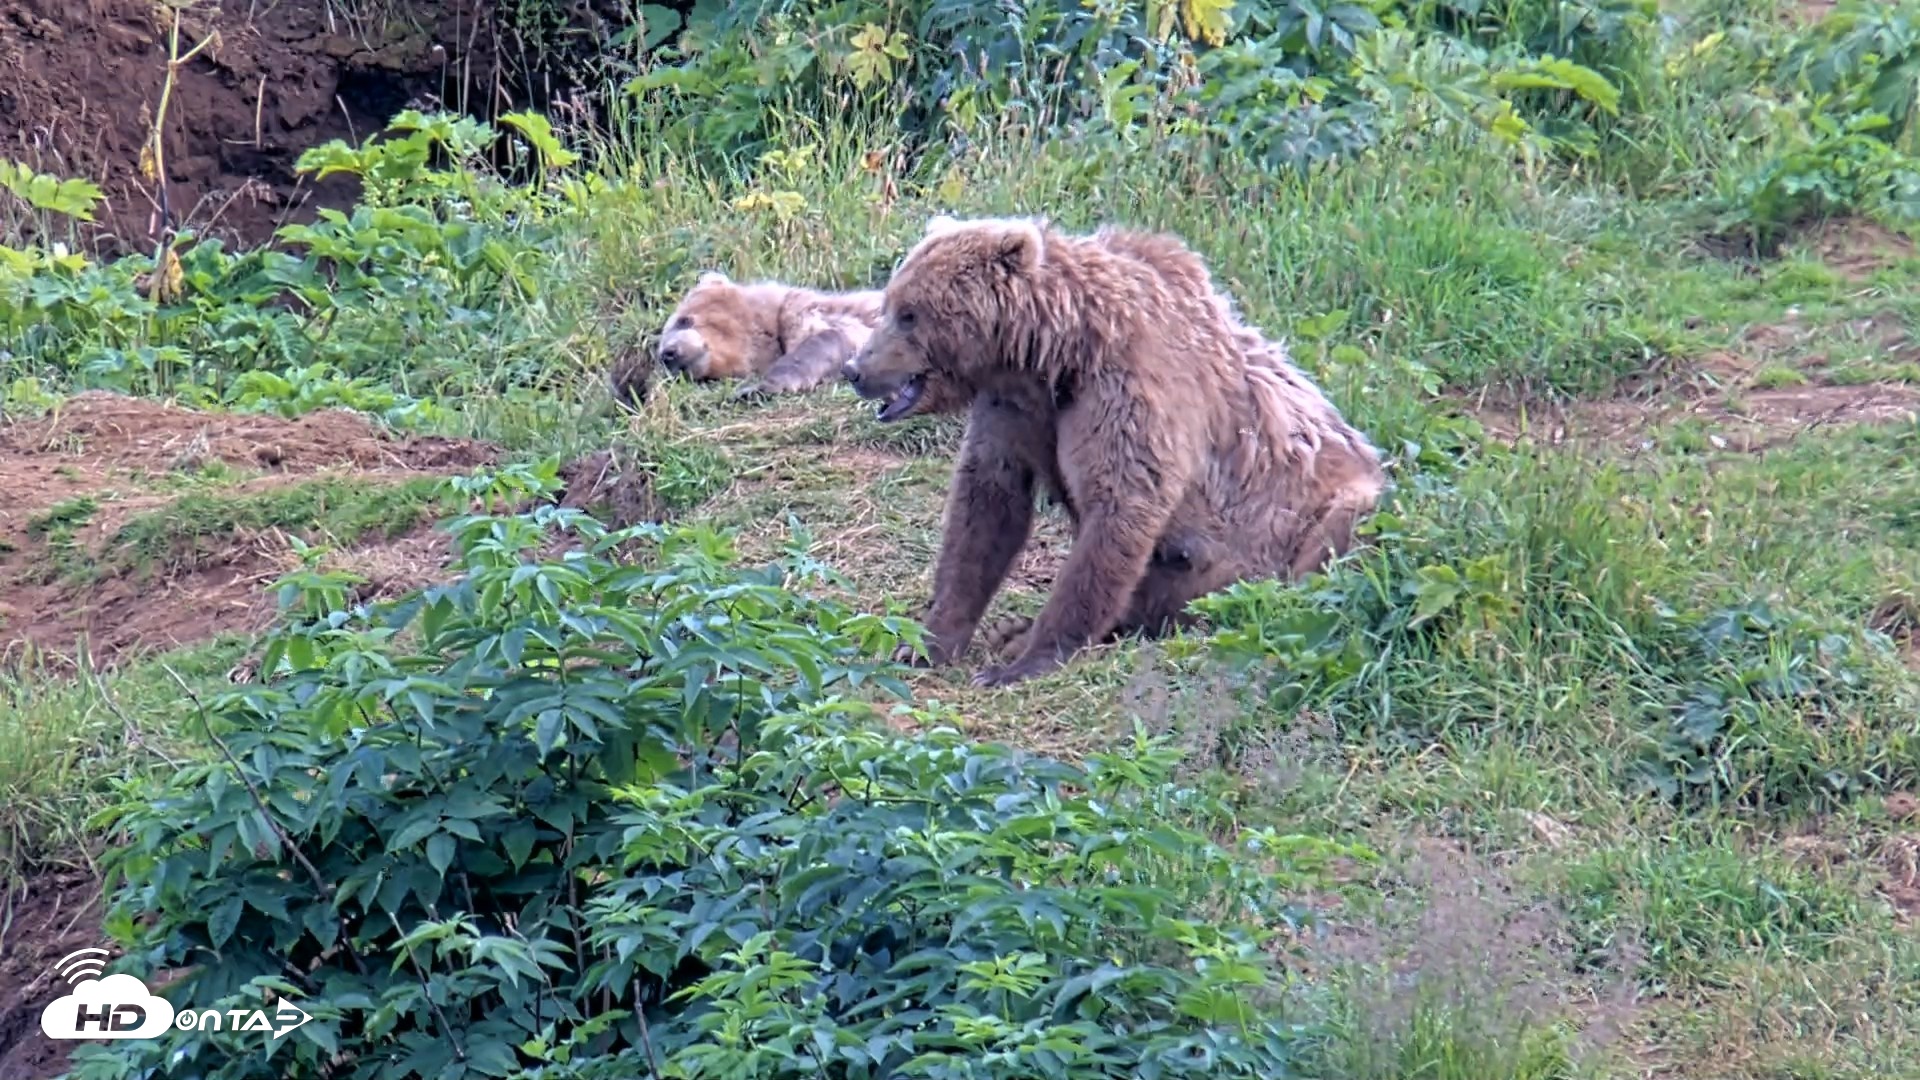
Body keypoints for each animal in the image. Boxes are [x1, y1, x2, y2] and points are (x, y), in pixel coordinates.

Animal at [841, 213, 1388, 688]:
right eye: (892, 302)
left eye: (910, 314)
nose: (855, 369)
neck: (1055, 353)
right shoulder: (1013, 409)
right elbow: (987, 506)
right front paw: (926, 642)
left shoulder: (1130, 390)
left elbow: (1121, 506)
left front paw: (1022, 662)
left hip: (1321, 514)